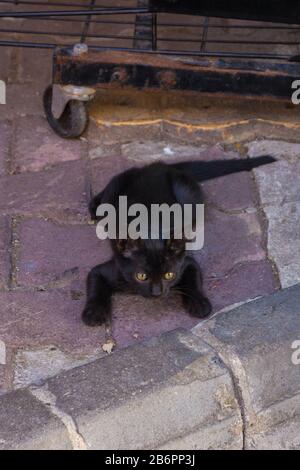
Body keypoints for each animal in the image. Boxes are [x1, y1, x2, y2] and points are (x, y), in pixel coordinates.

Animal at [82, 156, 276, 324]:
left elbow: (194, 279)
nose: (157, 292)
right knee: (108, 190)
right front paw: (93, 312)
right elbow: (94, 285)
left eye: (169, 275)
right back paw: (95, 205)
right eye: (141, 276)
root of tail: (160, 167)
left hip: (190, 199)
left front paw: (199, 302)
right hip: (118, 186)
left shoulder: (187, 262)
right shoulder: (108, 269)